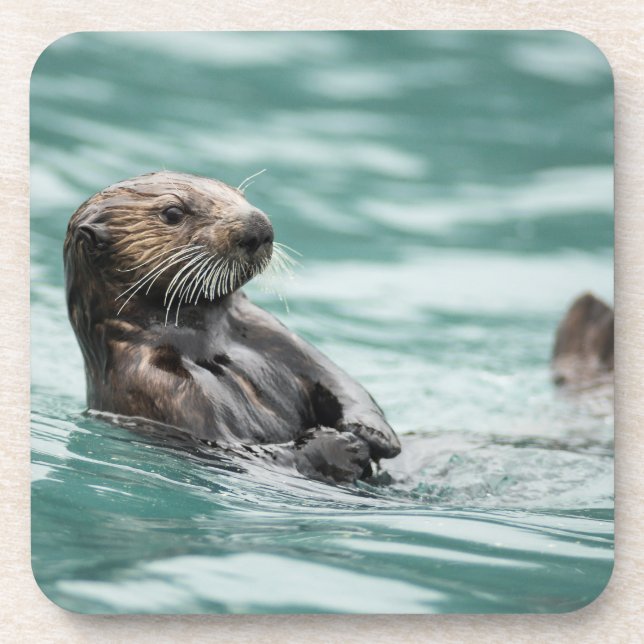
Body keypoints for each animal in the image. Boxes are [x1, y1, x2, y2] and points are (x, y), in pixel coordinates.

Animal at [63, 171, 401, 484]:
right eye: (172, 213)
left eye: (238, 195)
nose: (258, 225)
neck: (207, 342)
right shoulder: (157, 386)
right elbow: (241, 451)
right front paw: (343, 446)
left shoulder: (269, 332)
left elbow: (337, 380)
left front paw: (372, 432)